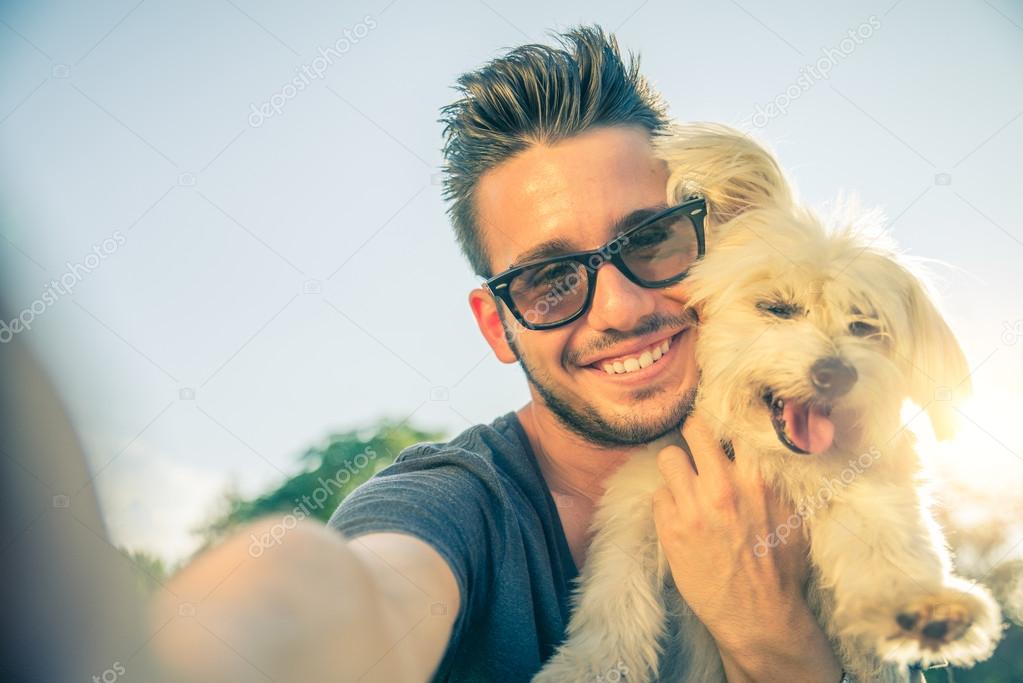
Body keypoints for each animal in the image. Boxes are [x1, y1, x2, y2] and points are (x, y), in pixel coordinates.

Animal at [536, 125, 998, 678]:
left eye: (863, 325)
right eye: (777, 308)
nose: (836, 373)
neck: (775, 460)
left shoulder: (864, 483)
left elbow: (886, 538)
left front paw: (926, 608)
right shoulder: (637, 503)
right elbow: (614, 599)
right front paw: (586, 667)